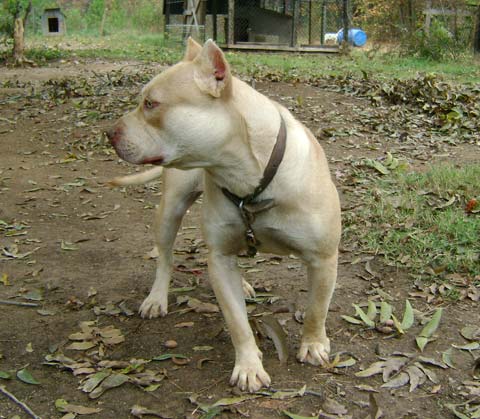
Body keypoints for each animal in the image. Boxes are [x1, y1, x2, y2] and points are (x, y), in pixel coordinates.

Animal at [109, 37, 342, 392]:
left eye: (150, 104)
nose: (109, 133)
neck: (249, 177)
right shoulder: (219, 258)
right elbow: (237, 322)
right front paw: (248, 365)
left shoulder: (323, 259)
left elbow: (317, 308)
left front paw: (313, 344)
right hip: (170, 211)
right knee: (165, 257)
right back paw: (157, 297)